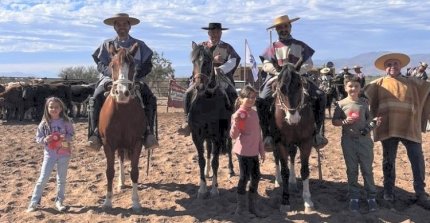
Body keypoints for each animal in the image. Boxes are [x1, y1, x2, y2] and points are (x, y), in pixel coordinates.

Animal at [98, 42, 146, 213]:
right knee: (119, 160)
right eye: (112, 65)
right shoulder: (108, 144)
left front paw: (136, 202)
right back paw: (121, 182)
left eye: (133, 65)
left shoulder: (137, 143)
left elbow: (134, 172)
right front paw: (107, 202)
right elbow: (109, 171)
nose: (122, 93)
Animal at [188, 41, 235, 199]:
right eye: (193, 61)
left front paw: (214, 188)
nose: (199, 86)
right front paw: (202, 188)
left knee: (229, 147)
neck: (207, 102)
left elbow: (216, 161)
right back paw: (207, 172)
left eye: (208, 61)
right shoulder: (197, 136)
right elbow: (202, 160)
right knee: (208, 151)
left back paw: (231, 170)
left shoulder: (218, 135)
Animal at [272, 64, 316, 213]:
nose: (293, 118)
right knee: (277, 158)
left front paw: (307, 200)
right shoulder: (280, 143)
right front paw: (285, 201)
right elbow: (284, 170)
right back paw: (278, 180)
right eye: (280, 88)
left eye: (299, 85)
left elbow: (304, 170)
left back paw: (292, 181)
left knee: (292, 155)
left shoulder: (306, 142)